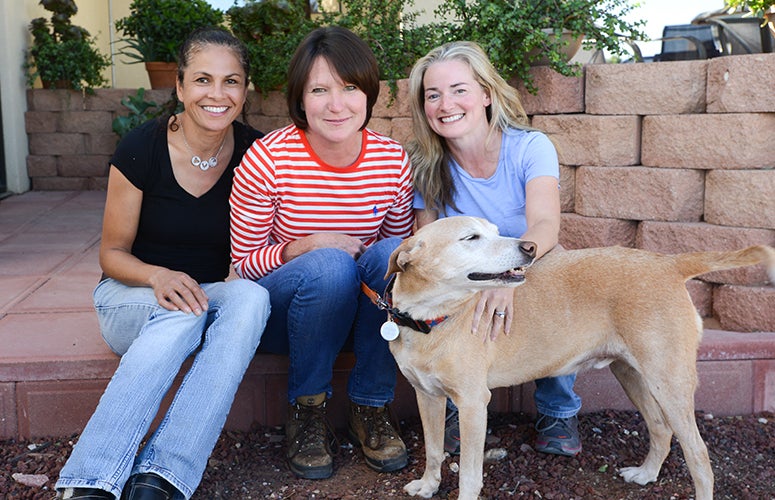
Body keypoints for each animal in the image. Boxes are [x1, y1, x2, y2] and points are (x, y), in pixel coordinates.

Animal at [382, 217, 775, 500]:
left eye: (493, 231)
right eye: (471, 238)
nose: (529, 246)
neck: (430, 320)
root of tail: (668, 262)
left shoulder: (473, 404)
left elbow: (468, 473)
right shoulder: (428, 397)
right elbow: (434, 450)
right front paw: (428, 486)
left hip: (670, 382)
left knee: (699, 454)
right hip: (630, 373)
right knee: (661, 428)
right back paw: (646, 474)